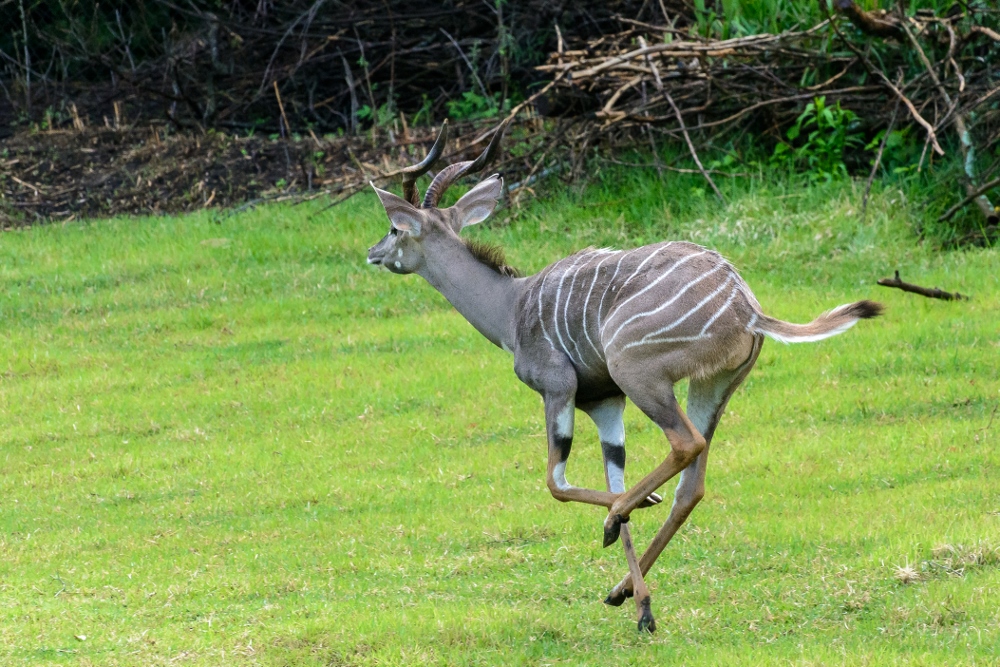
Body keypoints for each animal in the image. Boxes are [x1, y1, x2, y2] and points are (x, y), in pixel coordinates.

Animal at [364, 120, 880, 632]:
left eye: (394, 227)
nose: (372, 252)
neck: (512, 306)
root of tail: (746, 306)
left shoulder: (560, 389)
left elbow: (557, 482)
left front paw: (623, 527)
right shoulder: (605, 402)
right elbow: (613, 476)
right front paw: (642, 605)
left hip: (639, 374)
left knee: (684, 444)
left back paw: (616, 523)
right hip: (711, 386)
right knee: (691, 483)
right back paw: (620, 586)